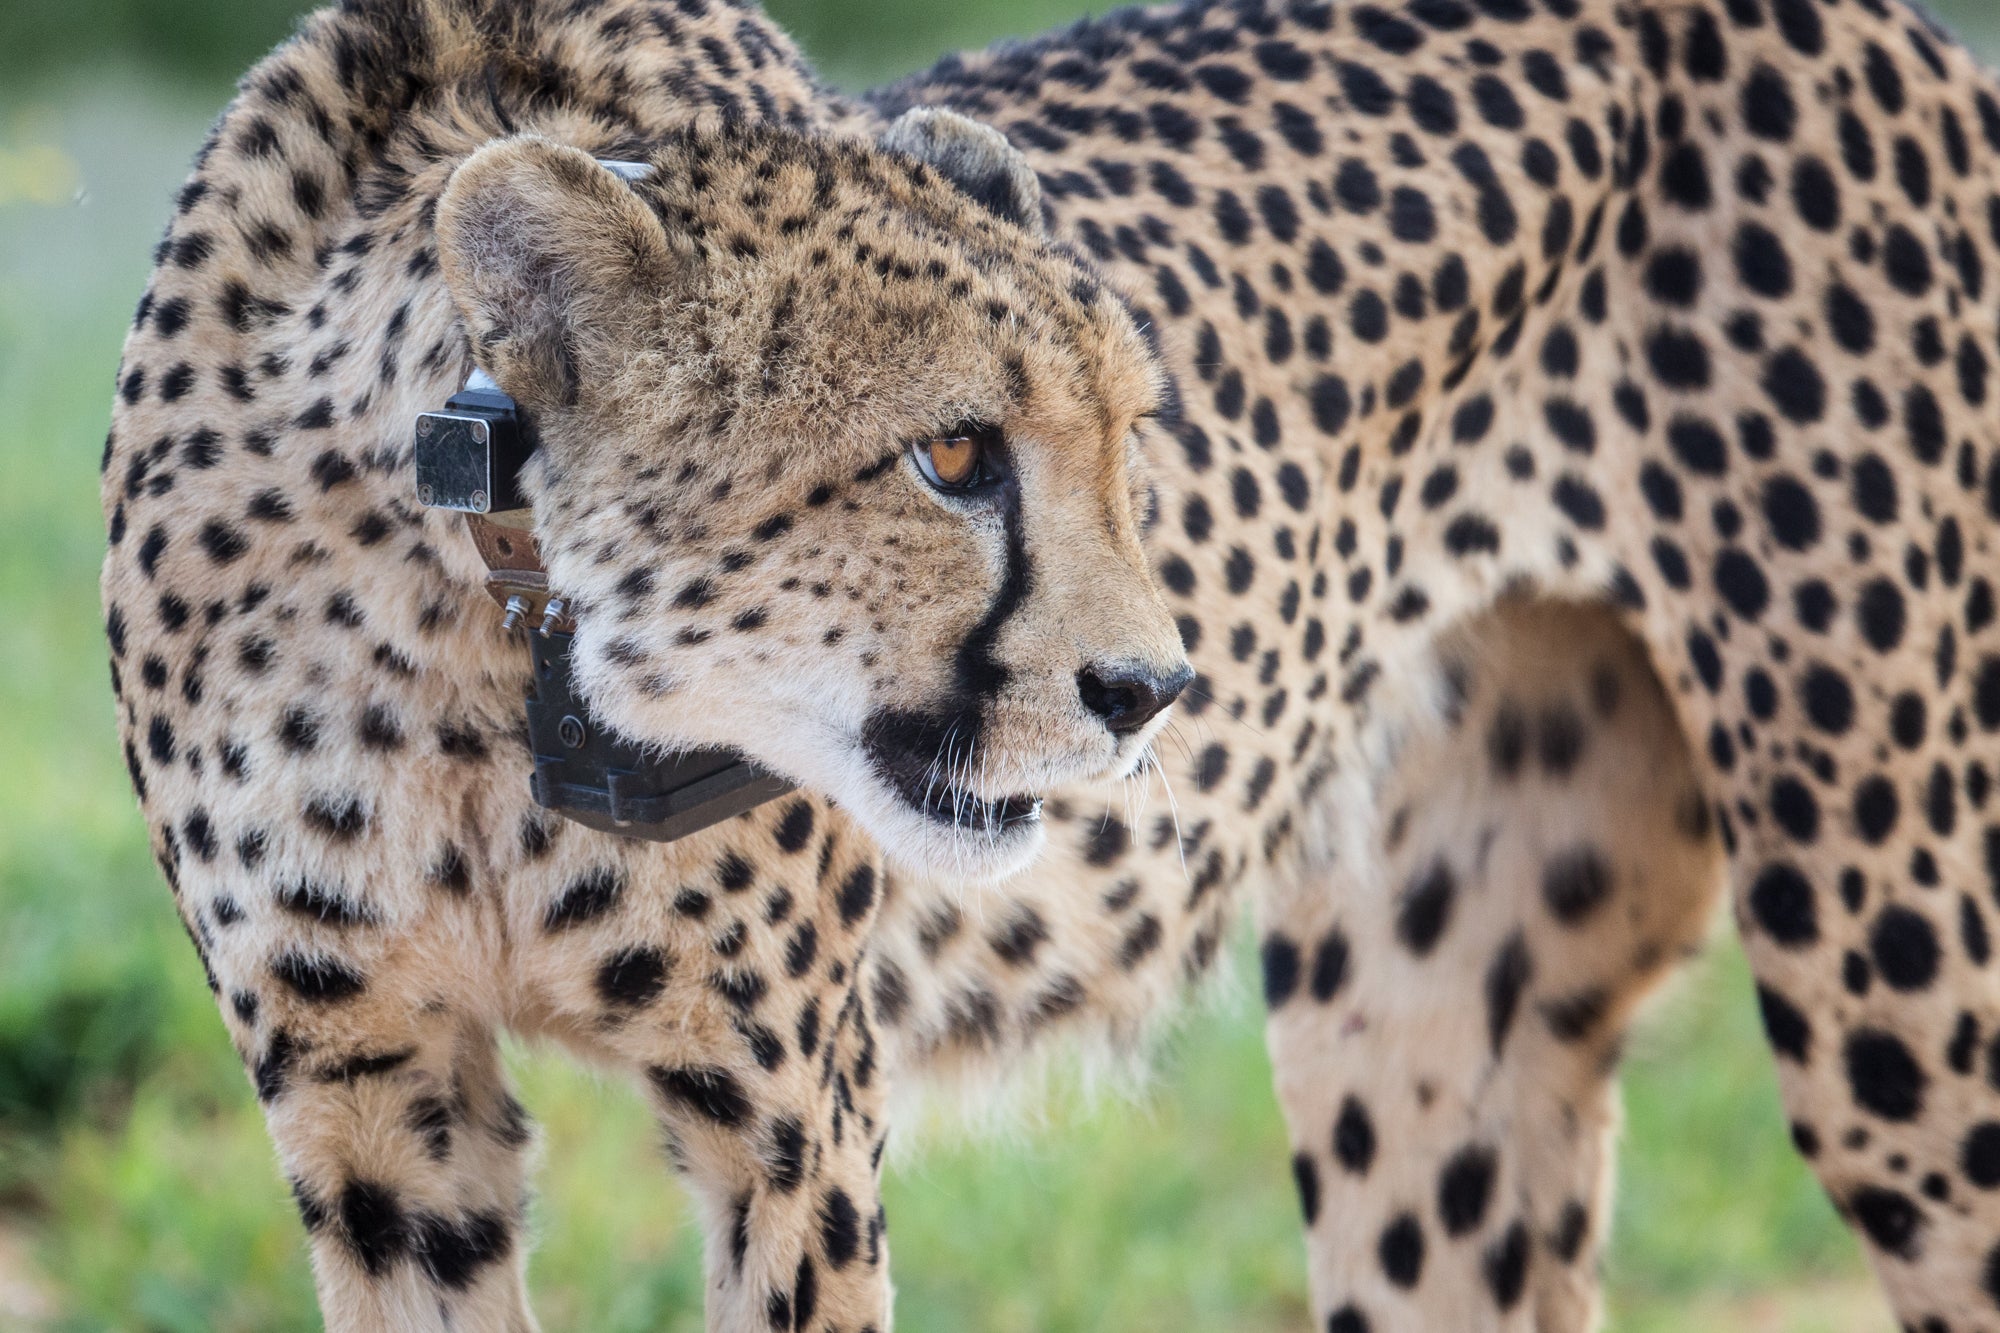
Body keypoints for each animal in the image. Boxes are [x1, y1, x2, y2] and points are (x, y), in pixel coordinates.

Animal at [105, 0, 2000, 1320]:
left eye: (1126, 441)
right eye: (952, 457)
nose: (1152, 690)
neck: (468, 636)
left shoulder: (788, 1112)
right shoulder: (373, 1105)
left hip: (1898, 980)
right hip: (1426, 1039)